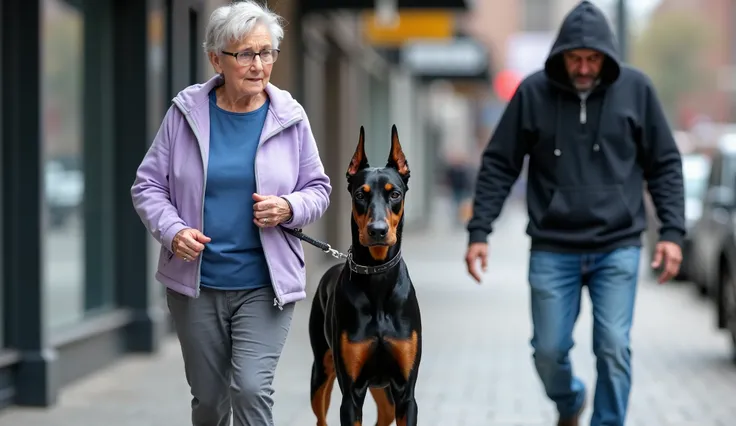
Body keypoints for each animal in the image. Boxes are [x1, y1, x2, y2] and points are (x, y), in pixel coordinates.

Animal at [308, 125, 420, 424]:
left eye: (395, 194)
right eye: (360, 194)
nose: (377, 231)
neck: (377, 275)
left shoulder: (406, 393)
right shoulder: (351, 394)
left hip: (384, 389)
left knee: (385, 412)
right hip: (321, 371)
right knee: (320, 415)